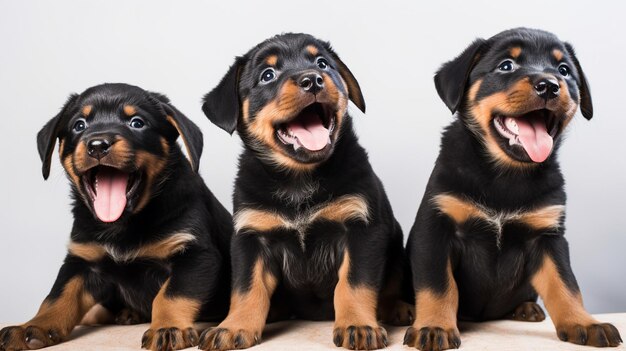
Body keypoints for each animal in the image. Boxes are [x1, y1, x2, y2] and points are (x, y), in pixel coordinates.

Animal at [0, 84, 232, 351]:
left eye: (137, 123)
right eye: (79, 125)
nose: (98, 145)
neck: (122, 225)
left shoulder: (195, 254)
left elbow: (171, 295)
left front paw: (167, 327)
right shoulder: (82, 261)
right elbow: (56, 297)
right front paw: (32, 327)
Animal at [197, 32, 408, 350]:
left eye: (322, 63)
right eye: (267, 75)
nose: (313, 80)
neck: (299, 179)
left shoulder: (362, 228)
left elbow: (355, 283)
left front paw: (358, 325)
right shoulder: (251, 237)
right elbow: (246, 289)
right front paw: (233, 327)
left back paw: (398, 308)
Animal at [402, 26, 620, 350]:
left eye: (564, 70)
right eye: (507, 66)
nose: (549, 86)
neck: (507, 175)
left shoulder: (548, 236)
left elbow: (565, 284)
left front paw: (584, 322)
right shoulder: (436, 228)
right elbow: (437, 285)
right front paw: (435, 326)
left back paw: (527, 309)